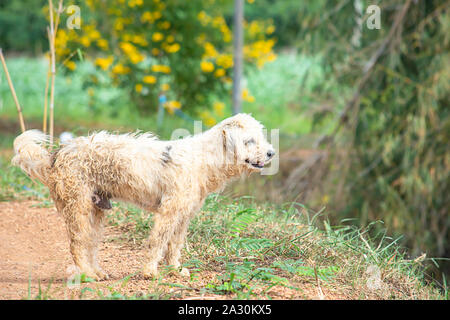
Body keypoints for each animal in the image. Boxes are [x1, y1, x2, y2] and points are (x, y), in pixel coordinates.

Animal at [12, 114, 274, 278]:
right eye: (249, 141)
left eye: (261, 137)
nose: (272, 152)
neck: (204, 158)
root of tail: (58, 154)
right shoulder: (169, 211)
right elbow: (158, 242)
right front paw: (150, 272)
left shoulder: (183, 215)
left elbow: (174, 246)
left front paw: (175, 270)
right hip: (78, 208)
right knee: (77, 245)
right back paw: (86, 275)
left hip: (96, 211)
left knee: (89, 245)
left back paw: (97, 273)